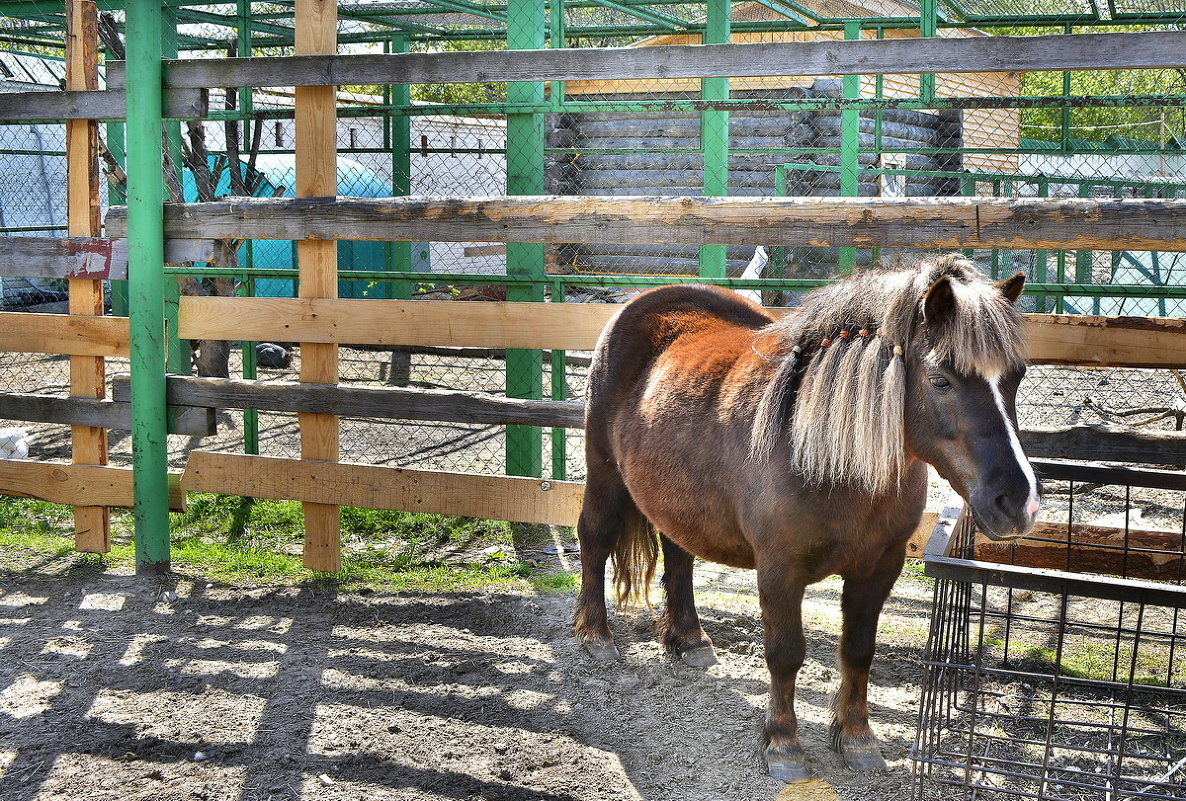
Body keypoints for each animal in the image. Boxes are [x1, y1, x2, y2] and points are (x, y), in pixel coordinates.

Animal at [574, 255, 1038, 783]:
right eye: (942, 379)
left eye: (1016, 376)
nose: (1018, 502)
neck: (830, 460)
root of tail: (642, 301)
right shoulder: (780, 569)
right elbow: (785, 654)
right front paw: (783, 744)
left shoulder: (881, 566)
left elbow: (858, 650)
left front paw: (857, 740)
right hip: (604, 471)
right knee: (594, 539)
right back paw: (596, 636)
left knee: (679, 554)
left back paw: (689, 639)